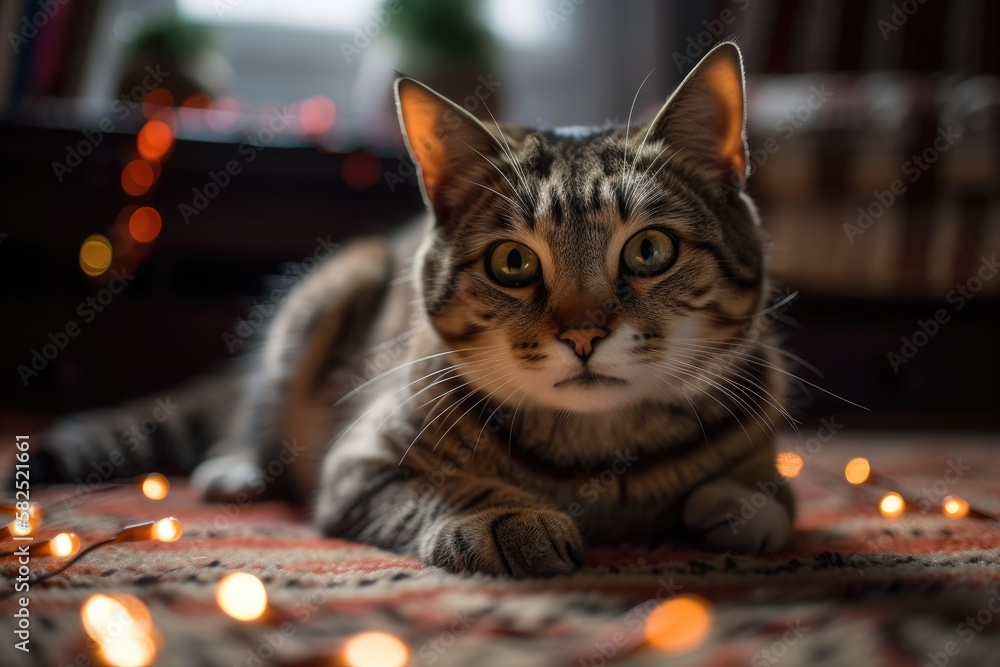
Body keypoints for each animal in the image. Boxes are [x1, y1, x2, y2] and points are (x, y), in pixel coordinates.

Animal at [33, 41, 796, 576]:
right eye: (513, 263)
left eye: (649, 250)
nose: (583, 334)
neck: (595, 459)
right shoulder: (361, 461)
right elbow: (448, 489)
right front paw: (506, 517)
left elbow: (768, 486)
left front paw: (749, 501)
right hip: (321, 302)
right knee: (252, 415)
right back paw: (234, 466)